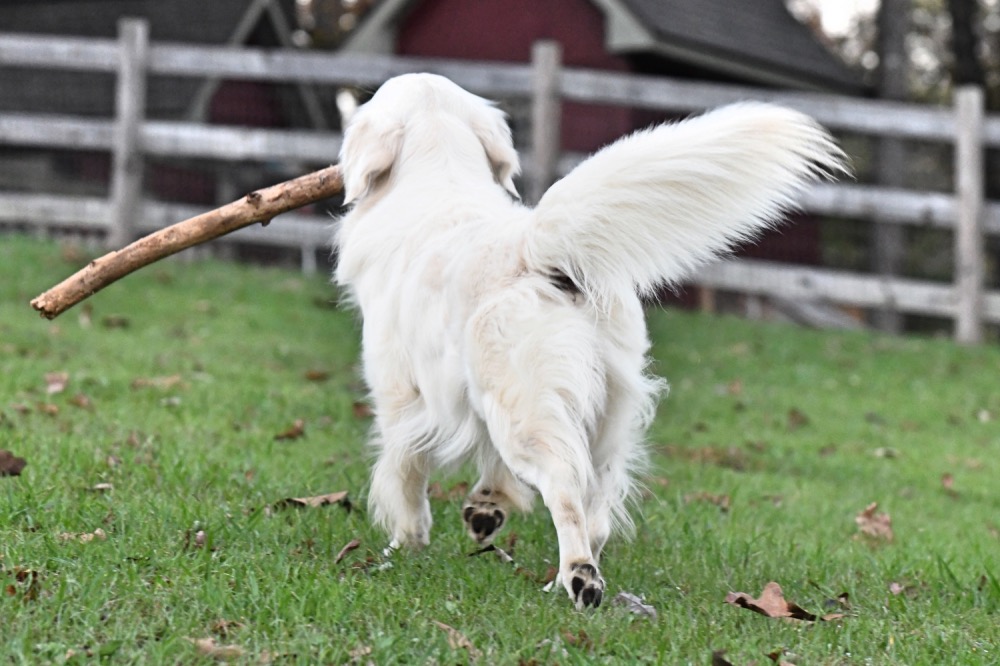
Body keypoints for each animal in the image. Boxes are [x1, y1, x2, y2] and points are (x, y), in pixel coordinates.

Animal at [334, 74, 844, 608]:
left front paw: (404, 545)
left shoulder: (400, 393)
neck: (440, 173)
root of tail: (539, 250)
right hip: (604, 417)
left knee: (564, 490)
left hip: (527, 412)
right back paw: (560, 578)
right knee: (595, 509)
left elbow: (405, 473)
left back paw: (580, 578)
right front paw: (486, 508)